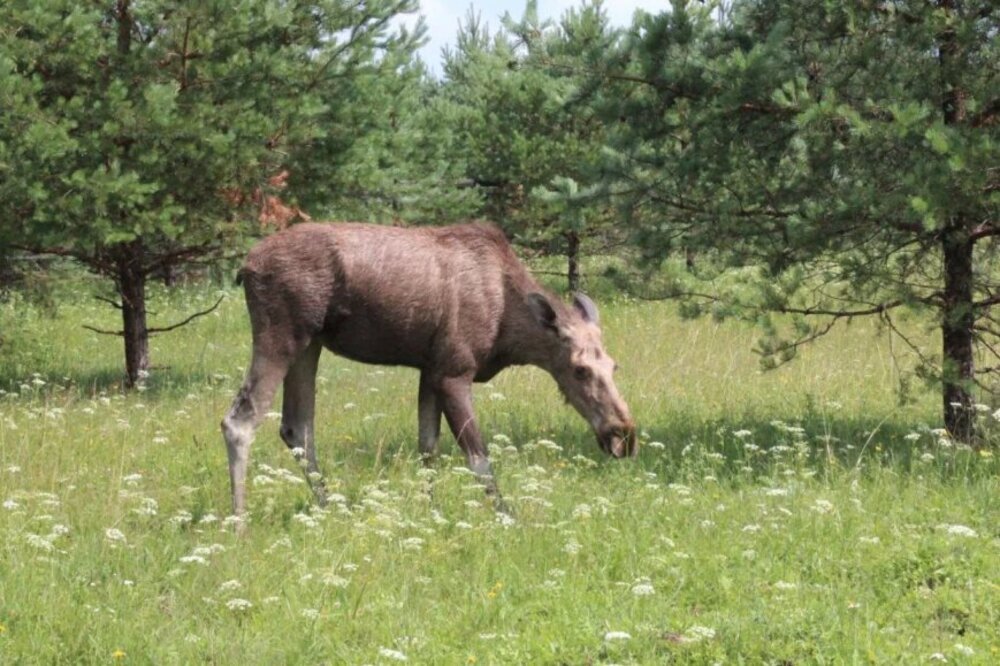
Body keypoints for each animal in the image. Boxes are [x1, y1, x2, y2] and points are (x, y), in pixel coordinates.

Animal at [223, 223, 636, 520]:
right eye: (579, 369)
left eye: (614, 365)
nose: (623, 435)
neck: (508, 332)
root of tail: (245, 268)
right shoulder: (454, 372)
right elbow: (478, 457)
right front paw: (506, 517)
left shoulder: (430, 370)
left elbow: (428, 449)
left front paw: (431, 513)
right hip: (282, 334)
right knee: (240, 420)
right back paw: (240, 521)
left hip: (311, 344)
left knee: (297, 427)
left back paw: (330, 508)